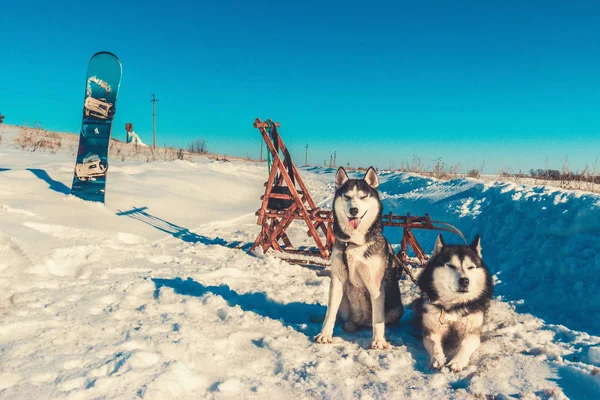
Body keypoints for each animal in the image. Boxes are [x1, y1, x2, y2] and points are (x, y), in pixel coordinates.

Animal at [314, 167, 404, 348]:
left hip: (396, 309)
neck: (354, 243)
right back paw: (348, 324)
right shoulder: (337, 280)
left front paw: (378, 341)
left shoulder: (376, 285)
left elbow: (378, 317)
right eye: (347, 196)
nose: (354, 210)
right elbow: (330, 312)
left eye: (363, 197)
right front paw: (325, 334)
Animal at [414, 234, 494, 372]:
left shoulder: (471, 331)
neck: (453, 305)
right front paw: (437, 358)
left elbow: (465, 344)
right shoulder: (432, 330)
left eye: (470, 267)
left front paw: (457, 361)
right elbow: (434, 344)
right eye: (451, 266)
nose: (464, 281)